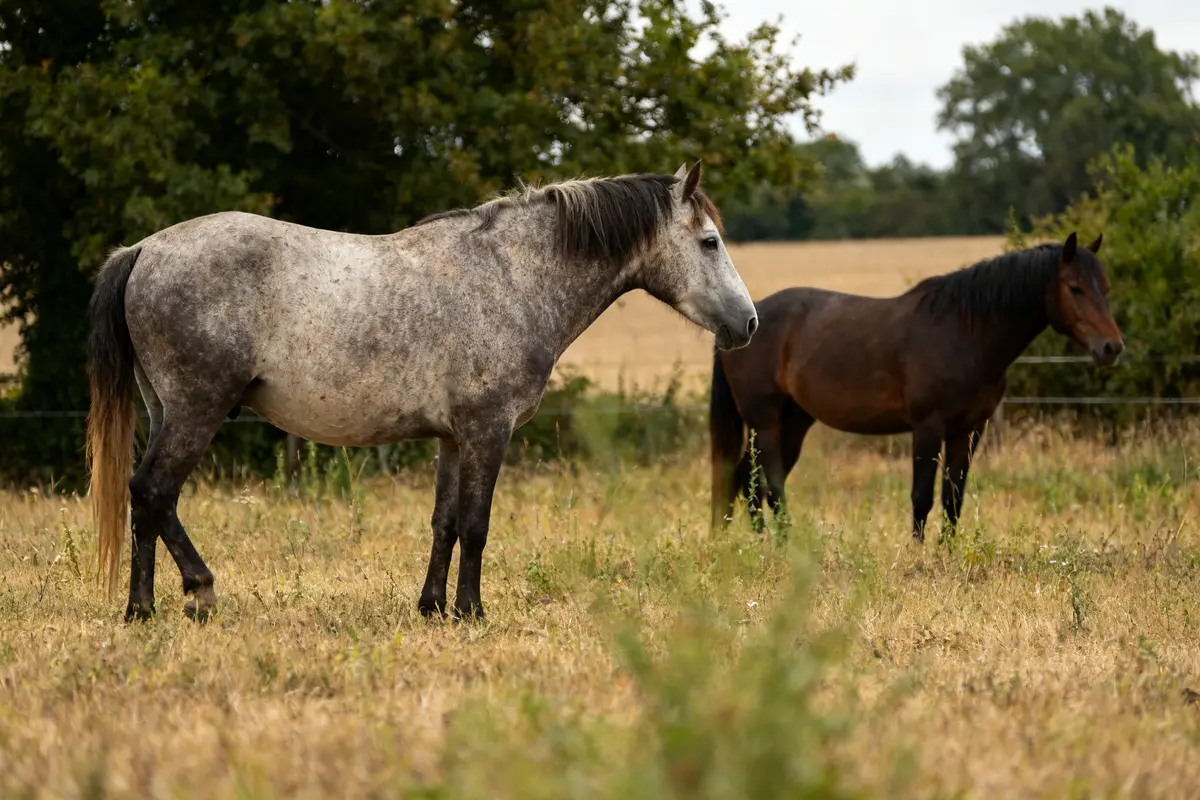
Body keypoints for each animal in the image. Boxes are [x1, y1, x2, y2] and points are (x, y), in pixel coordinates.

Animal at [87, 161, 759, 622]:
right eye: (710, 242)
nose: (749, 323)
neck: (512, 275)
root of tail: (144, 248)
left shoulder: (452, 438)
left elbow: (446, 521)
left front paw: (433, 607)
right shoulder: (488, 430)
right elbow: (478, 523)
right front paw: (471, 611)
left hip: (166, 409)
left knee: (150, 501)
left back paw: (153, 605)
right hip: (196, 409)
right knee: (152, 491)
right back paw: (187, 596)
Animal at [709, 232, 1123, 542]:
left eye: (1105, 287)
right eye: (1075, 288)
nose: (1111, 348)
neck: (964, 333)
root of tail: (745, 324)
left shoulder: (968, 430)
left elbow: (953, 496)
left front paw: (947, 552)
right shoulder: (928, 426)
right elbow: (921, 496)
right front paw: (917, 554)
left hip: (794, 422)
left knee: (749, 480)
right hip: (765, 421)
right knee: (767, 482)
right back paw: (778, 543)